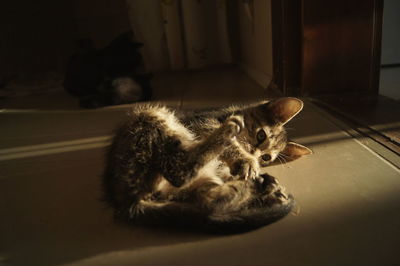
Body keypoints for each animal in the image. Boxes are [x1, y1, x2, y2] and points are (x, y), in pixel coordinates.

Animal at [101, 97, 310, 233]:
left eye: (266, 158)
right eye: (261, 135)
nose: (254, 155)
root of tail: (125, 201)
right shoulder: (203, 123)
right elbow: (231, 145)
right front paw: (244, 159)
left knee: (211, 203)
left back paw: (266, 190)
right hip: (151, 114)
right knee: (180, 172)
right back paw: (230, 130)